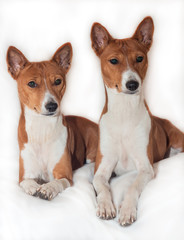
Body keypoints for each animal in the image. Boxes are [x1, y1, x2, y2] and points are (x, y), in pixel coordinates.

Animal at [6, 43, 98, 201]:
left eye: (58, 81)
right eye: (32, 83)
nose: (52, 106)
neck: (42, 129)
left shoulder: (65, 174)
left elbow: (57, 182)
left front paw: (47, 188)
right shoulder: (24, 175)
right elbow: (28, 182)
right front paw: (34, 187)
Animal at [90, 17, 184, 226]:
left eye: (139, 58)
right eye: (114, 61)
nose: (132, 84)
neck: (124, 114)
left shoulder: (145, 167)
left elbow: (132, 187)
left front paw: (126, 211)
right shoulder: (101, 169)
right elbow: (102, 187)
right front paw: (106, 206)